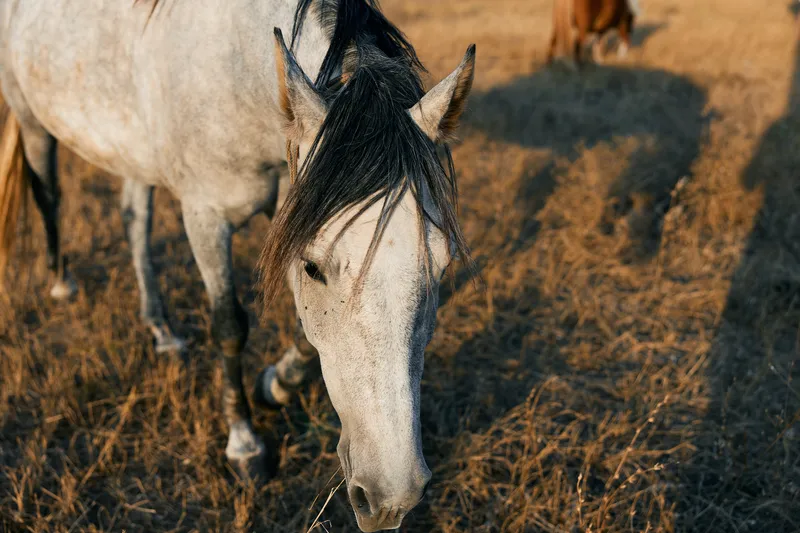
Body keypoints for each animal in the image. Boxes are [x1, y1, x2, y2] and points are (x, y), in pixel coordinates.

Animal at [0, 0, 476, 530]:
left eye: (441, 267)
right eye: (313, 268)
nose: (392, 498)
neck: (236, 71)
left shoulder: (292, 199)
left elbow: (305, 335)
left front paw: (278, 384)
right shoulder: (206, 217)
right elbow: (229, 326)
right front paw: (246, 446)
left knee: (134, 218)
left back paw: (162, 330)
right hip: (33, 124)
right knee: (49, 193)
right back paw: (63, 283)